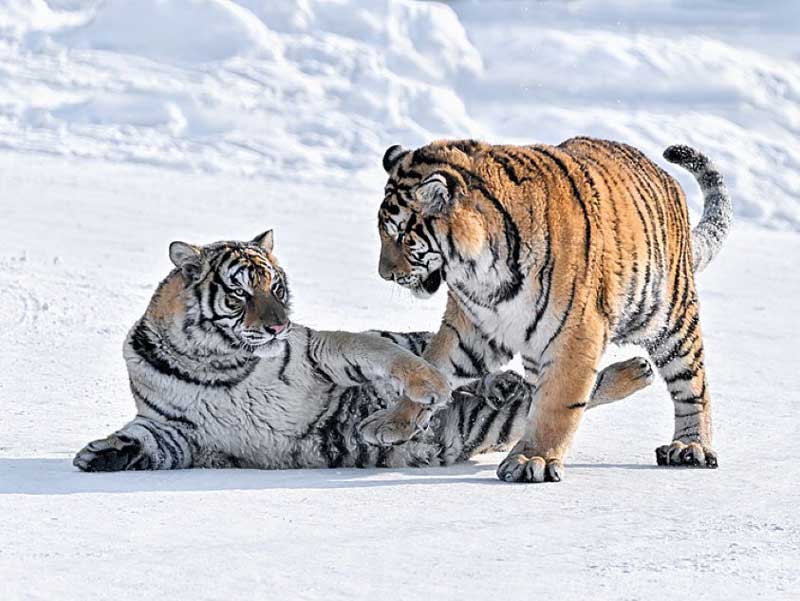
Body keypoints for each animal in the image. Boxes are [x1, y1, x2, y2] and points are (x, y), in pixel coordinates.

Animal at [73, 230, 653, 472]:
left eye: (276, 287)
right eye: (241, 293)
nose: (280, 325)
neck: (220, 362)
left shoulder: (318, 352)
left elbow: (387, 357)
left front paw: (427, 388)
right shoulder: (178, 430)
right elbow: (143, 442)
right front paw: (97, 454)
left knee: (560, 387)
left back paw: (634, 370)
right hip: (489, 423)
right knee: (530, 398)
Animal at [359, 137, 732, 483]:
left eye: (402, 235)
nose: (383, 273)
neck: (482, 273)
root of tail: (663, 175)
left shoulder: (577, 333)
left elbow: (557, 403)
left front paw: (533, 459)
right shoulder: (473, 328)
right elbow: (433, 365)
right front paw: (388, 422)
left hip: (671, 319)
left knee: (693, 386)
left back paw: (691, 447)